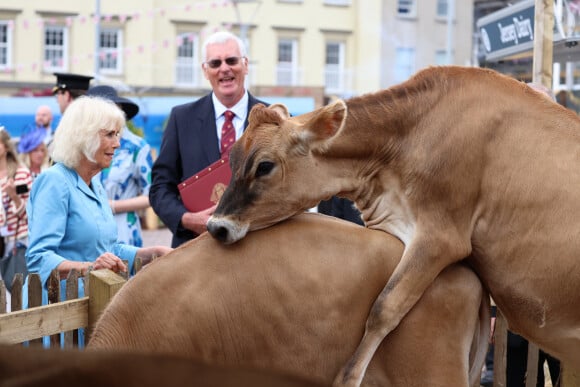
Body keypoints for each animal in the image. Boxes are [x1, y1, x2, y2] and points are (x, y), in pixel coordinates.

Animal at [207, 66, 580, 387]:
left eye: (265, 166)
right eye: (233, 159)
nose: (216, 226)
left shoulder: (441, 237)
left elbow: (384, 307)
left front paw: (348, 378)